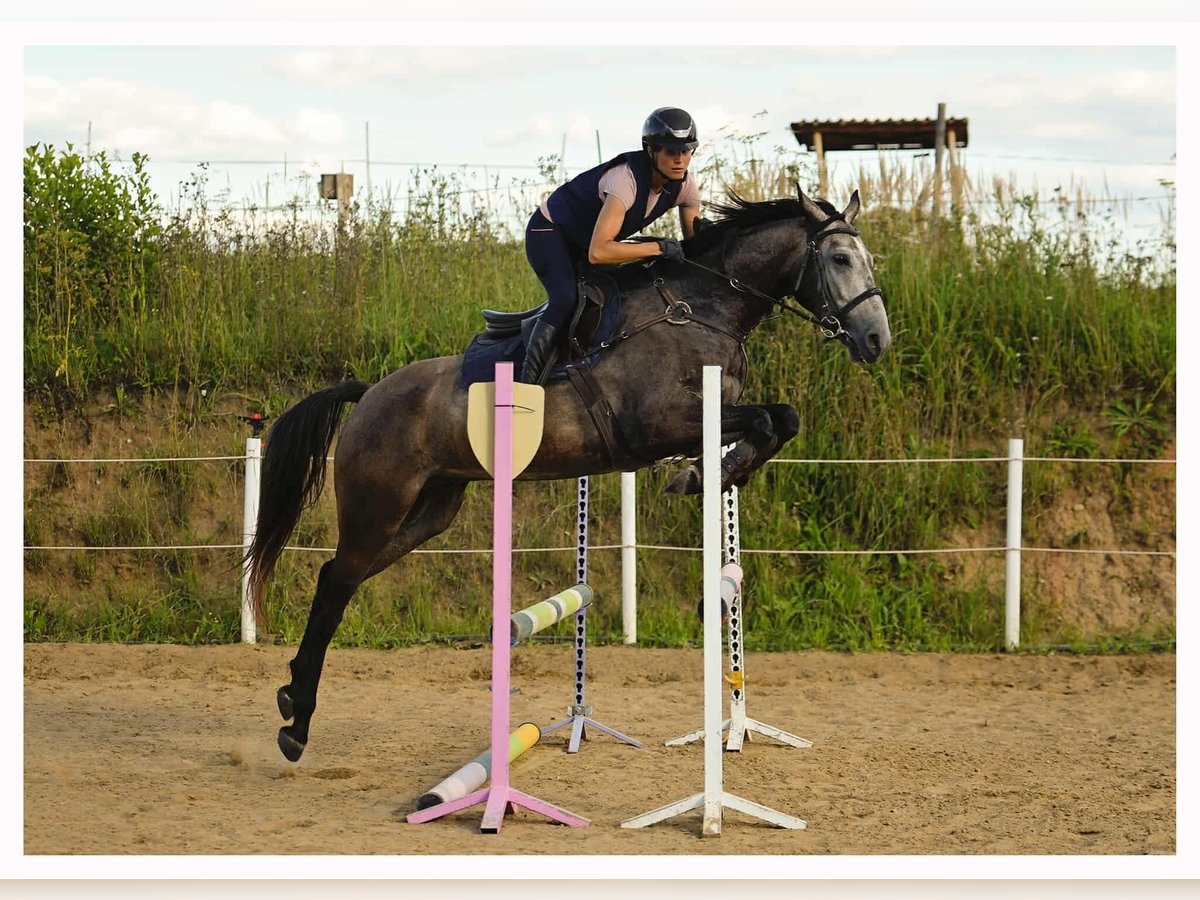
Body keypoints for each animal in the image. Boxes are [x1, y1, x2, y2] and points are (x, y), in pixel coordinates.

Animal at [246, 186, 891, 762]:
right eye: (839, 259)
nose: (876, 340)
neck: (701, 313)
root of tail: (369, 393)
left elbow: (780, 420)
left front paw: (715, 476)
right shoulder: (657, 424)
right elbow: (764, 418)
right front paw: (696, 478)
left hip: (431, 510)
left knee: (338, 576)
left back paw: (290, 697)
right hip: (378, 506)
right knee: (337, 582)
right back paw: (297, 724)